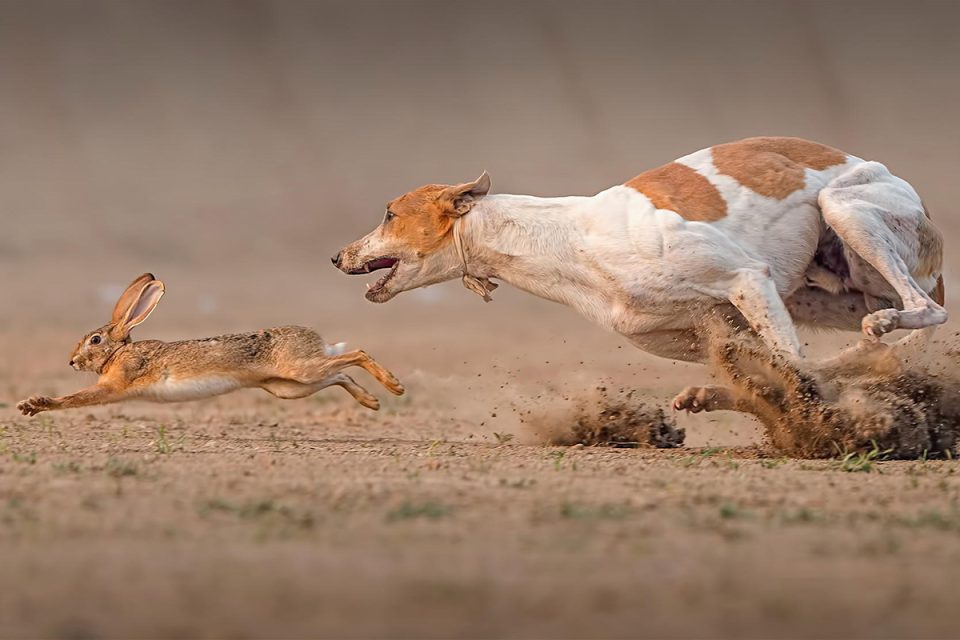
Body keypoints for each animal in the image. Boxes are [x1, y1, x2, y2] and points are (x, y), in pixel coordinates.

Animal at [336, 137, 944, 416]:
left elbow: (792, 369)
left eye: (389, 213)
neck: (569, 238)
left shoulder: (747, 278)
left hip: (846, 211)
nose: (338, 257)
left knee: (926, 310)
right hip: (820, 296)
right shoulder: (712, 328)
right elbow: (776, 371)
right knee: (859, 351)